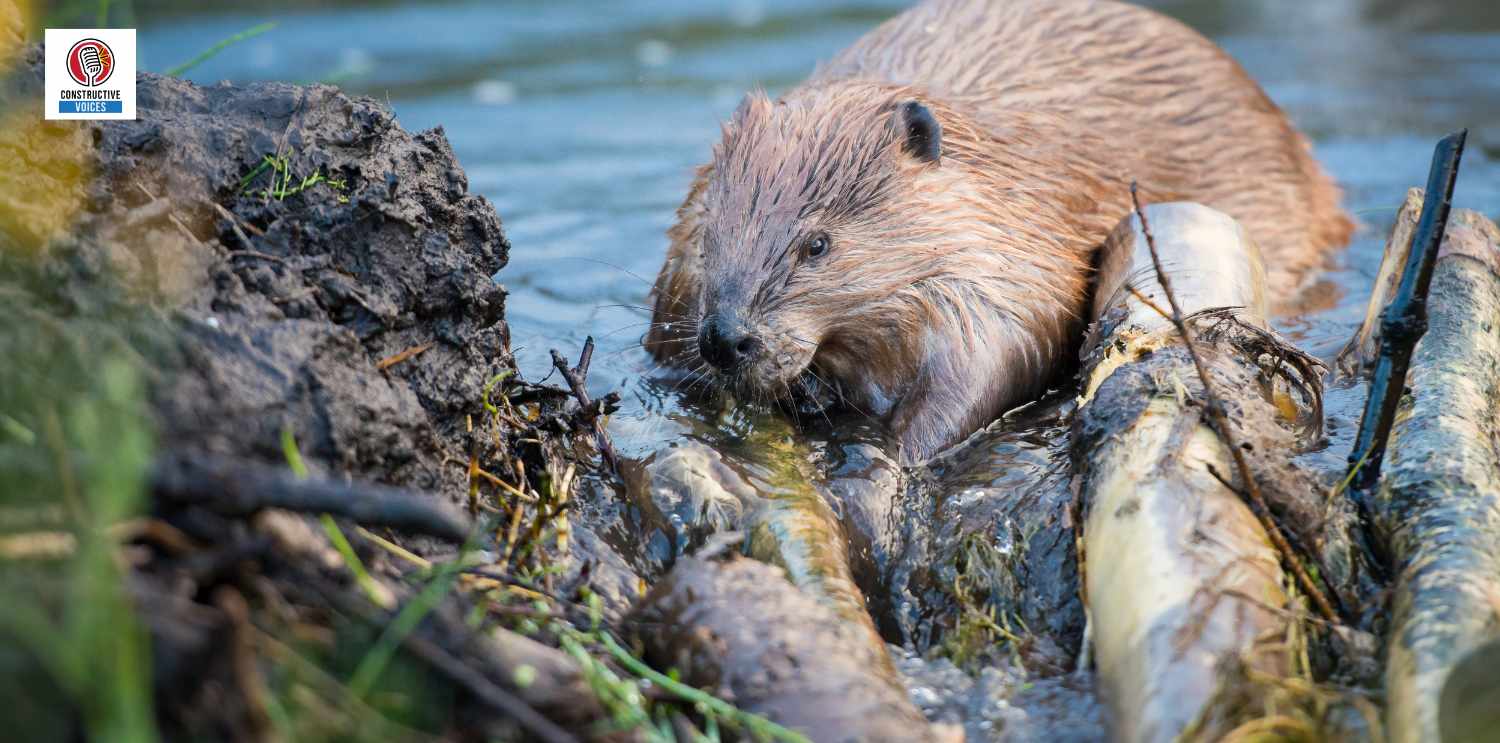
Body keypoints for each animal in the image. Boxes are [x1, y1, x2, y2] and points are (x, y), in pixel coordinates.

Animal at [642, 0, 1350, 465]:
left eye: (816, 244)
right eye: (711, 232)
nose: (727, 339)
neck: (996, 162)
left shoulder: (1005, 249)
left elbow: (995, 357)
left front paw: (893, 454)